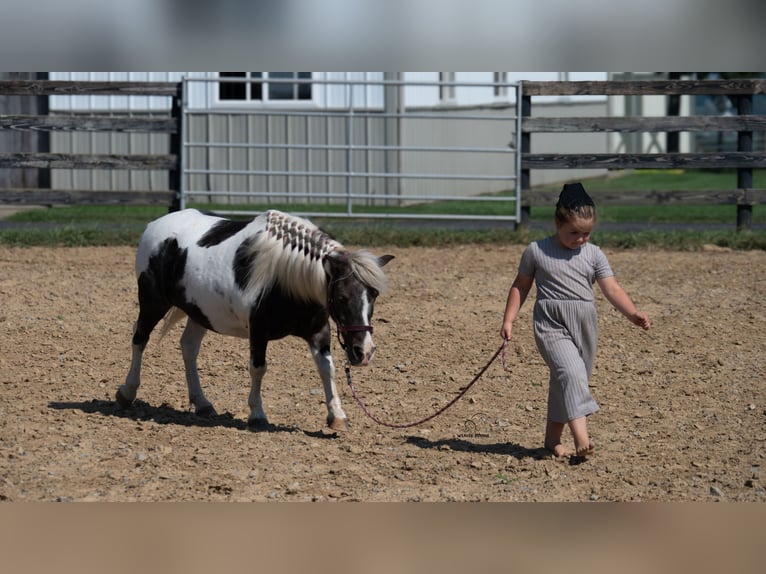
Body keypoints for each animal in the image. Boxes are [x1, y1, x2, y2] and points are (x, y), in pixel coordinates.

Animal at [116, 208, 393, 431]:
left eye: (374, 294)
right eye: (342, 297)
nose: (364, 352)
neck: (286, 279)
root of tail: (155, 225)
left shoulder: (319, 332)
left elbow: (327, 368)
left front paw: (337, 415)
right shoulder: (258, 332)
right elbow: (258, 368)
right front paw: (257, 415)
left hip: (200, 313)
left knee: (188, 347)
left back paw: (202, 403)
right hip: (152, 302)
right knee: (139, 339)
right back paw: (127, 392)